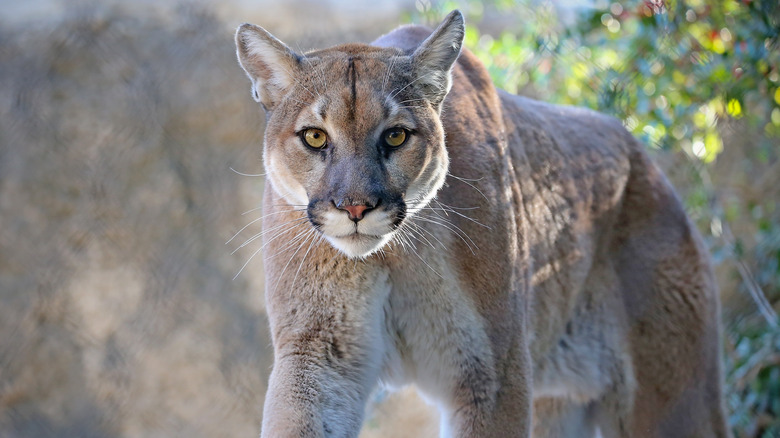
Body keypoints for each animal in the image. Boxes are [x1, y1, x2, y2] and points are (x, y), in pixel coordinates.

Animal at [235, 9, 728, 438]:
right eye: (315, 136)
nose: (355, 208)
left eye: (395, 135)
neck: (394, 254)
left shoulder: (492, 373)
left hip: (674, 398)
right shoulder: (320, 352)